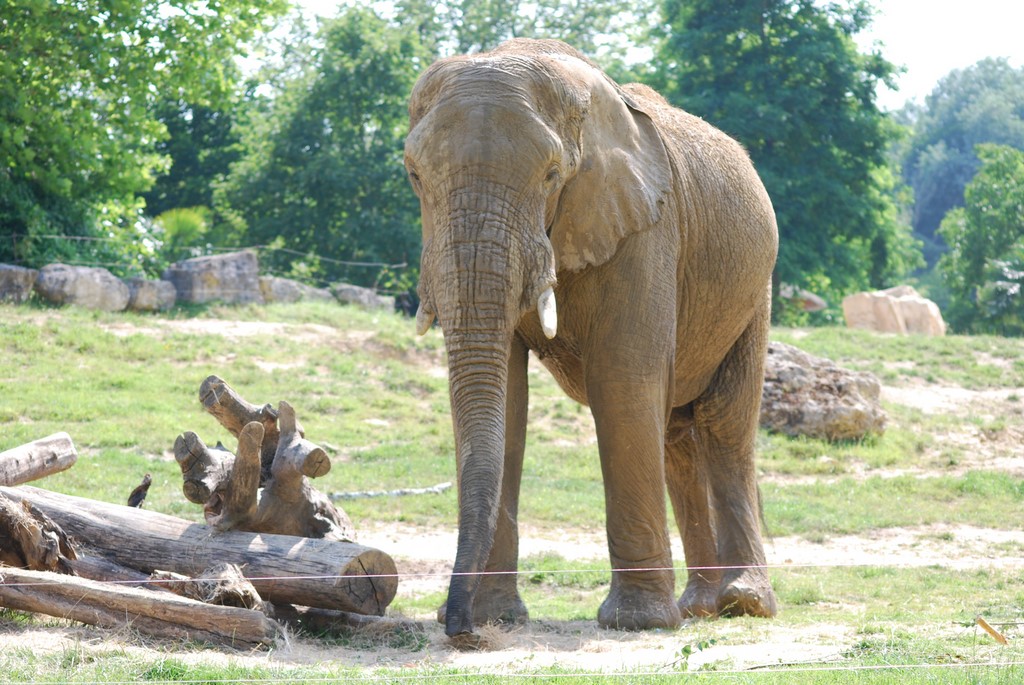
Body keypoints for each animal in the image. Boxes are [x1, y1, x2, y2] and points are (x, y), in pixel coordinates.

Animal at [404, 38, 779, 639]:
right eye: (414, 175)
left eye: (553, 174)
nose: (458, 630)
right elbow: (508, 395)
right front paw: (496, 618)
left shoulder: (648, 226)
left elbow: (623, 378)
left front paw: (639, 623)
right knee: (677, 435)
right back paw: (698, 608)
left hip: (754, 289)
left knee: (724, 423)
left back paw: (742, 604)